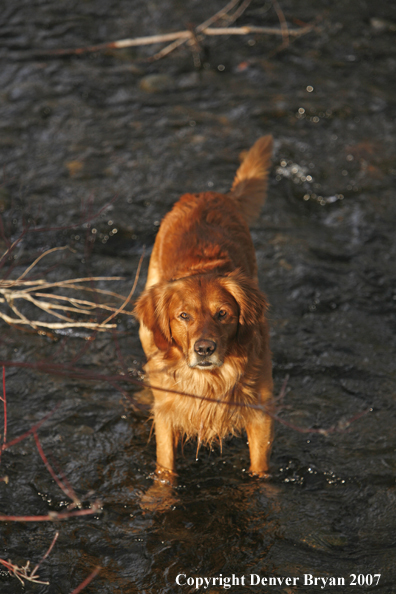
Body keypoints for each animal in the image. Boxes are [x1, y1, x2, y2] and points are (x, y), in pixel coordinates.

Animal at [135, 136, 274, 478]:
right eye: (183, 316)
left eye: (223, 314)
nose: (204, 349)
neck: (209, 382)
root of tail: (207, 194)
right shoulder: (168, 412)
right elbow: (165, 465)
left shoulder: (261, 411)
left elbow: (259, 466)